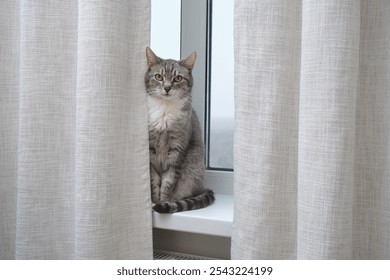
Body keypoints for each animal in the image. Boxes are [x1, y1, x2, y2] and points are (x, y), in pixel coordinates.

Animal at [145, 47, 215, 213]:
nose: (167, 88)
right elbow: (154, 182)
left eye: (178, 78)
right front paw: (154, 201)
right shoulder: (151, 152)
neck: (164, 111)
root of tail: (202, 188)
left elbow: (167, 183)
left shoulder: (177, 151)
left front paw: (163, 202)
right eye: (158, 76)